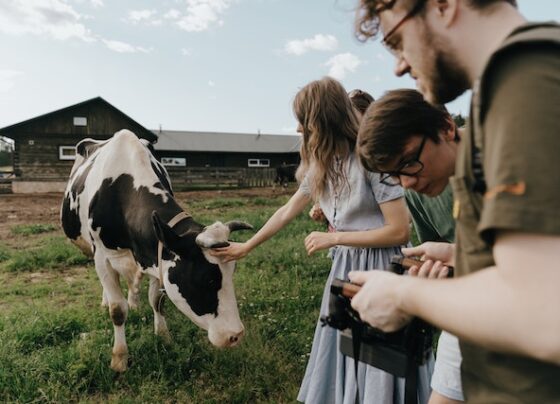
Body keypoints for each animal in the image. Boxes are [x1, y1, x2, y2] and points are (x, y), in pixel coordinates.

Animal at [61, 129, 252, 372]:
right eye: (206, 279)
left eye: (232, 273)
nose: (235, 335)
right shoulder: (103, 256)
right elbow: (117, 310)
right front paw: (119, 358)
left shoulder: (157, 254)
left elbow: (157, 300)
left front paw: (163, 337)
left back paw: (134, 300)